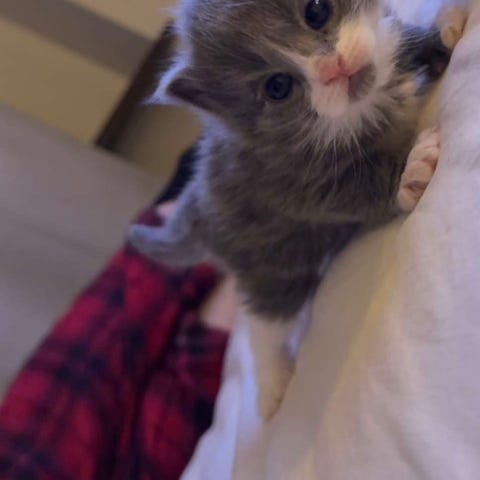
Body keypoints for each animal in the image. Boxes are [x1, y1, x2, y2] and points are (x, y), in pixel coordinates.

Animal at [129, 0, 465, 419]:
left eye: (316, 11)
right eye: (278, 87)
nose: (332, 67)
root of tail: (194, 207)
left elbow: (404, 40)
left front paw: (446, 28)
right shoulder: (289, 181)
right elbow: (352, 190)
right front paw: (410, 172)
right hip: (269, 262)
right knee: (264, 319)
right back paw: (272, 386)